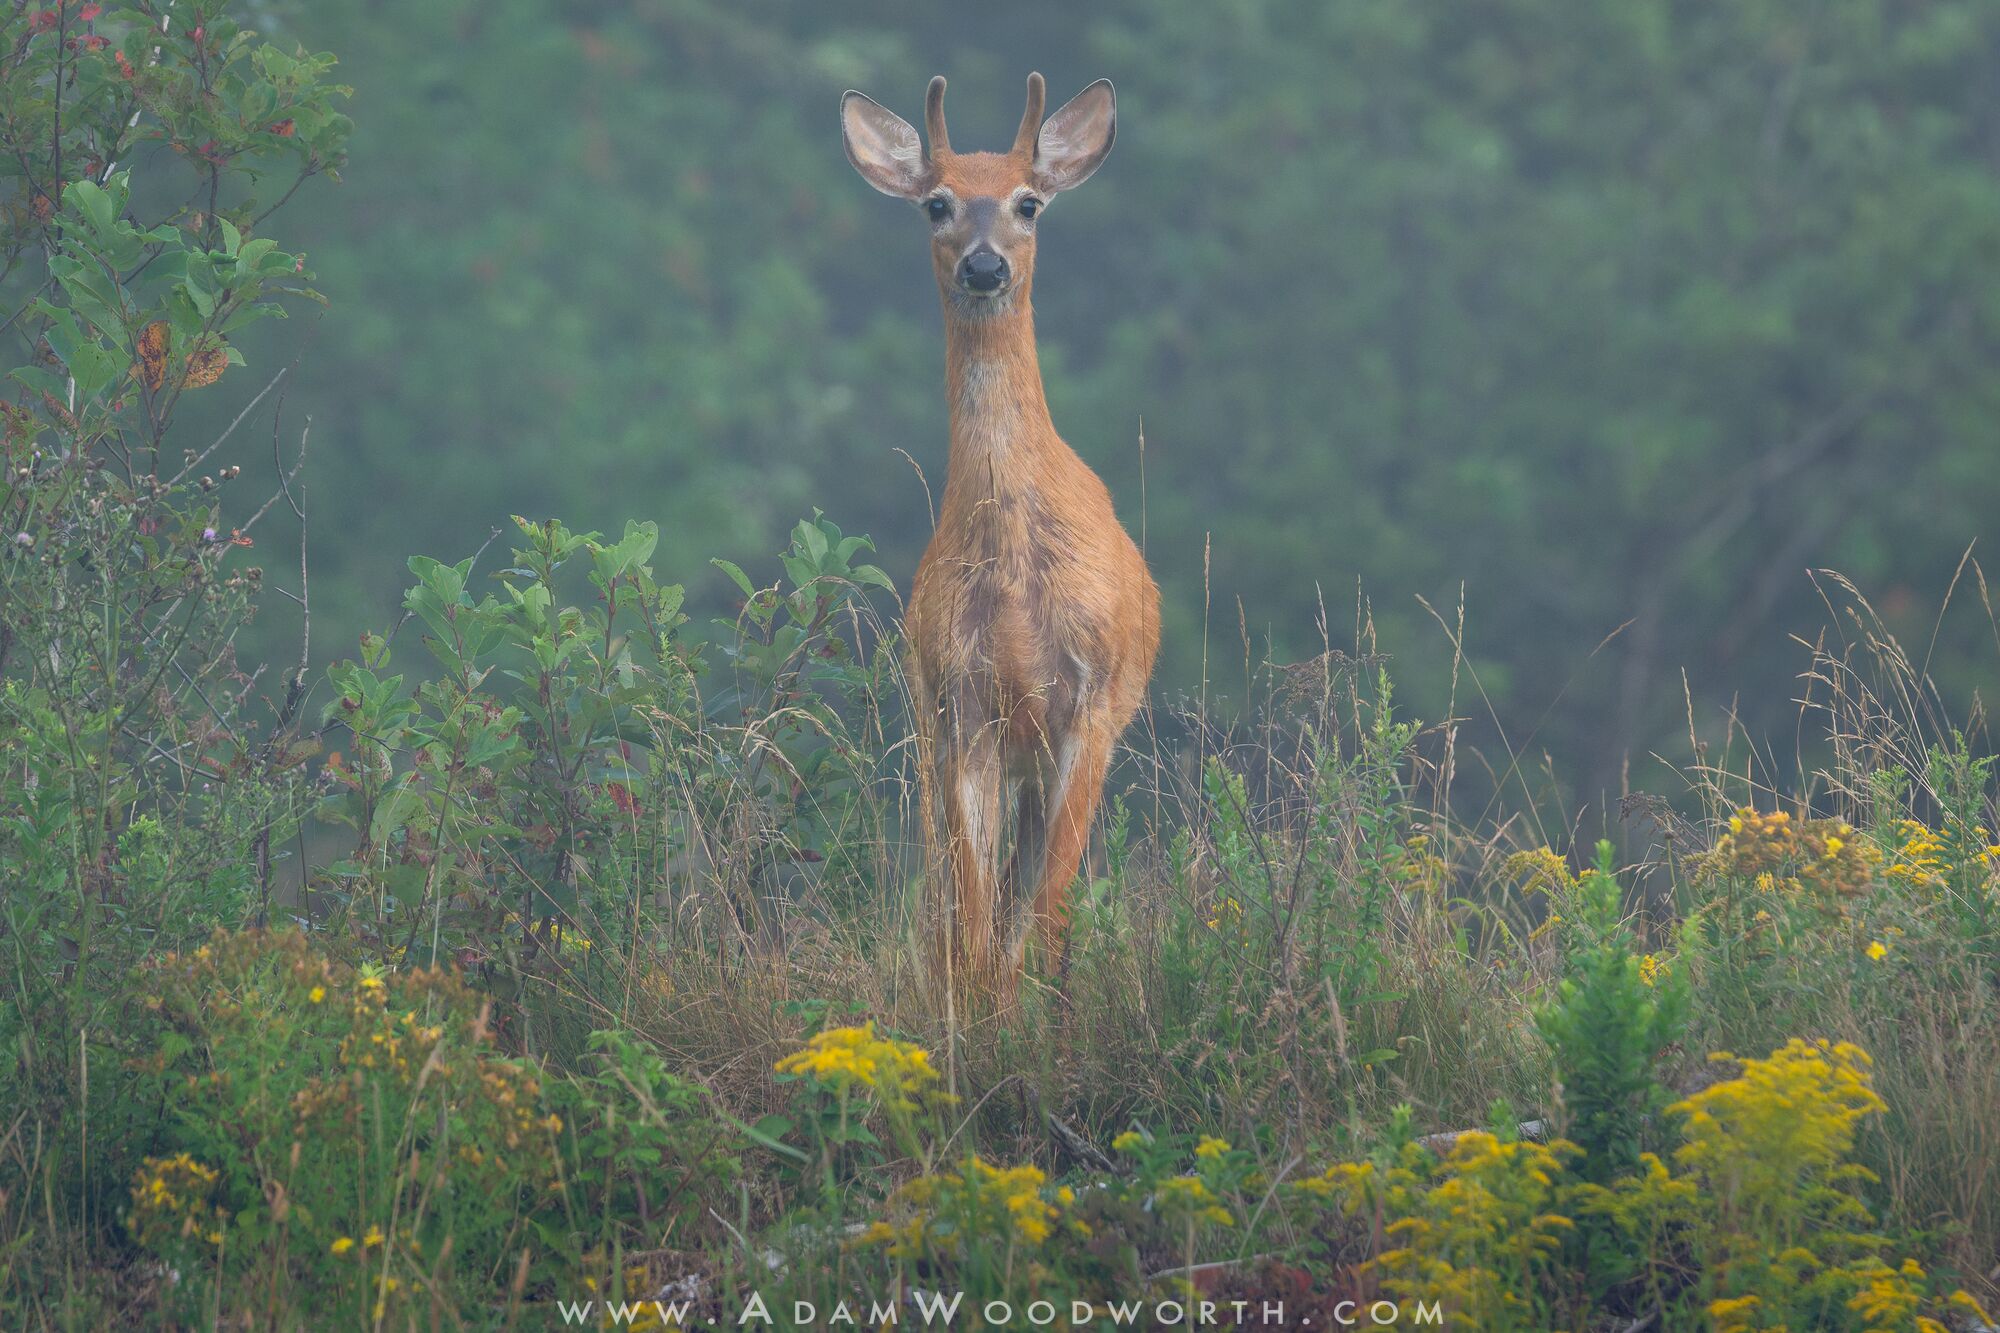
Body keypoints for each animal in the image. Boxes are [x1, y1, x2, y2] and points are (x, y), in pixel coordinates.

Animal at [840, 72, 1160, 997]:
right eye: (937, 203)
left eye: (1029, 202)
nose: (985, 265)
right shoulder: (962, 700)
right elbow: (977, 920)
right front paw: (983, 1015)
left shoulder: (1092, 698)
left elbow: (1044, 909)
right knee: (954, 900)